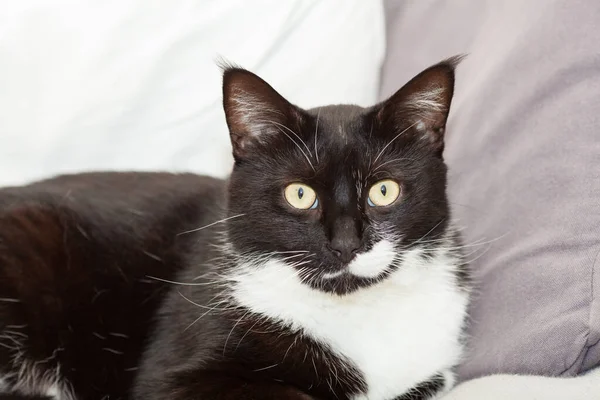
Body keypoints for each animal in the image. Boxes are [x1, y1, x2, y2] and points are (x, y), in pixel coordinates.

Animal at [0, 56, 468, 400]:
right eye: (300, 194)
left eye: (383, 191)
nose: (345, 244)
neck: (354, 311)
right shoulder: (171, 373)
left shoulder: (433, 369)